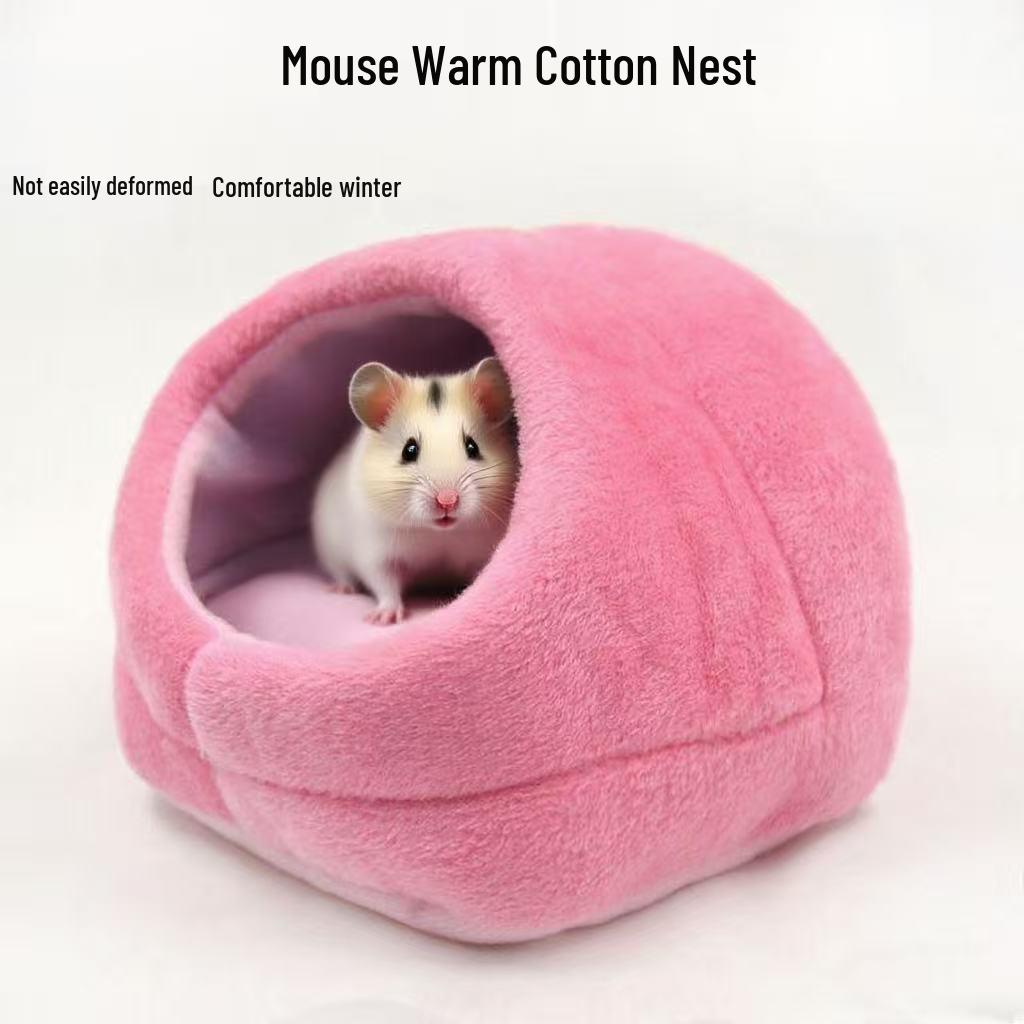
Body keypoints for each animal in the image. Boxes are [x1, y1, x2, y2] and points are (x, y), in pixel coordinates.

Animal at [312, 357, 519, 625]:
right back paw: (342, 588)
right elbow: (385, 585)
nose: (447, 501)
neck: (438, 533)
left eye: (473, 447)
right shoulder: (376, 554)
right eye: (409, 450)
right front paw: (384, 618)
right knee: (341, 573)